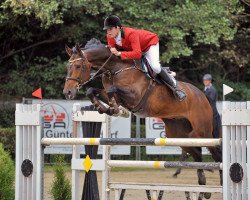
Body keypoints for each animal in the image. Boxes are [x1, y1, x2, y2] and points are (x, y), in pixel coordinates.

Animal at [63, 39, 222, 200]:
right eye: (68, 66)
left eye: (77, 66)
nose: (68, 92)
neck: (115, 68)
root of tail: (202, 95)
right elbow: (93, 91)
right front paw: (106, 109)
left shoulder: (135, 97)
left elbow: (113, 90)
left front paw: (117, 109)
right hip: (179, 134)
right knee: (196, 154)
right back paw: (204, 188)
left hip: (203, 132)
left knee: (217, 154)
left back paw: (220, 184)